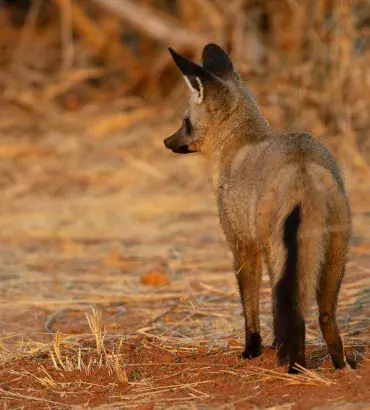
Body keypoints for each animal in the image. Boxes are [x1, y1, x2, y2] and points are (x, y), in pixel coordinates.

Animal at [164, 43, 356, 374]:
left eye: (185, 121)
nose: (167, 141)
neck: (237, 150)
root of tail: (303, 166)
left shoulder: (242, 245)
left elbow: (249, 304)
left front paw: (251, 350)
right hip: (334, 256)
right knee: (325, 317)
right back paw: (341, 369)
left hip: (281, 254)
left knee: (294, 312)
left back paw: (295, 368)